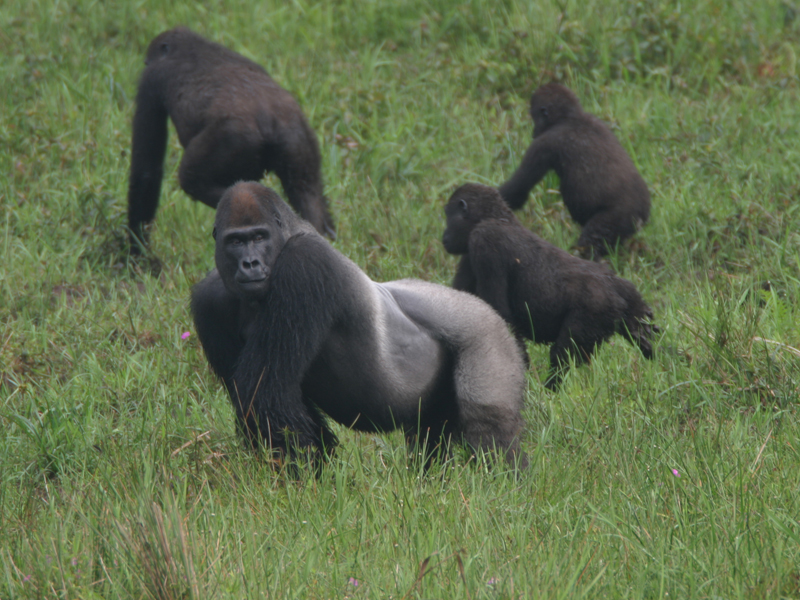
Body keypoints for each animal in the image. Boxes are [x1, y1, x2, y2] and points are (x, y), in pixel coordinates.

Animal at [128, 27, 334, 253]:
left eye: (147, 62)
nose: (145, 62)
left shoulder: (151, 79)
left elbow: (146, 169)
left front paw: (136, 251)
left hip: (234, 140)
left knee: (192, 179)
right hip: (296, 136)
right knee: (308, 192)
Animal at [193, 180, 528, 466]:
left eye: (259, 237)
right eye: (235, 241)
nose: (249, 263)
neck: (288, 234)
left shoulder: (305, 264)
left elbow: (263, 393)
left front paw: (303, 481)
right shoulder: (209, 300)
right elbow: (259, 398)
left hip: (488, 335)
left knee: (489, 430)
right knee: (431, 436)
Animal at [444, 183, 656, 390]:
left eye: (448, 216)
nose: (444, 235)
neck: (497, 217)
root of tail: (616, 287)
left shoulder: (485, 240)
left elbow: (501, 316)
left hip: (596, 308)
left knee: (563, 354)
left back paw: (550, 390)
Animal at [500, 82, 648, 260]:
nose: (534, 132)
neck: (570, 118)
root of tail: (643, 213)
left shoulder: (543, 145)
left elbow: (518, 189)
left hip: (617, 217)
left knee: (591, 242)